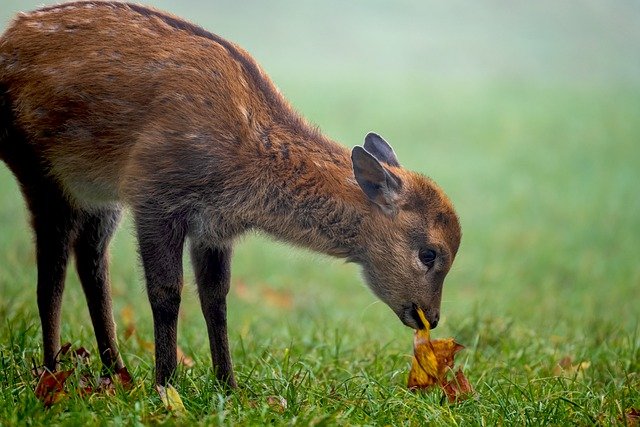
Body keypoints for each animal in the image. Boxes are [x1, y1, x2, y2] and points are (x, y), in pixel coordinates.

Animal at [0, 1, 461, 389]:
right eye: (429, 253)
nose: (431, 318)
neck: (242, 177)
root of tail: (8, 37)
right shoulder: (155, 194)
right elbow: (166, 292)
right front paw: (166, 386)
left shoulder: (214, 228)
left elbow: (216, 299)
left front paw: (228, 385)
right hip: (39, 169)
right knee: (52, 272)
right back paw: (53, 372)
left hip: (99, 194)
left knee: (92, 263)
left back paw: (117, 372)